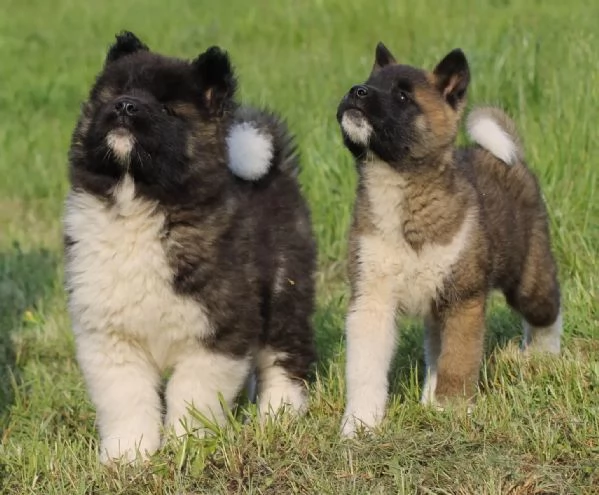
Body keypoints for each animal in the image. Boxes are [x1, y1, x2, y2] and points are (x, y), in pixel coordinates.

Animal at [64, 32, 318, 464]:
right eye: (114, 93)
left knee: (284, 358)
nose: (124, 106)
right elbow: (127, 402)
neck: (139, 203)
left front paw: (188, 446)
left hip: (285, 293)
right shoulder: (112, 339)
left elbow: (192, 397)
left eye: (168, 108)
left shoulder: (217, 334)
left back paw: (277, 417)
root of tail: (278, 169)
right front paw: (127, 456)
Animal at [338, 42, 564, 438]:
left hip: (528, 279)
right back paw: (429, 394)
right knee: (434, 348)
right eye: (368, 82)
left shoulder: (464, 299)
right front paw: (360, 424)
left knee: (546, 311)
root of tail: (510, 159)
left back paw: (543, 356)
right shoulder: (372, 301)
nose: (355, 91)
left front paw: (453, 411)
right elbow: (365, 371)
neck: (400, 184)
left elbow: (458, 360)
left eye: (402, 96)